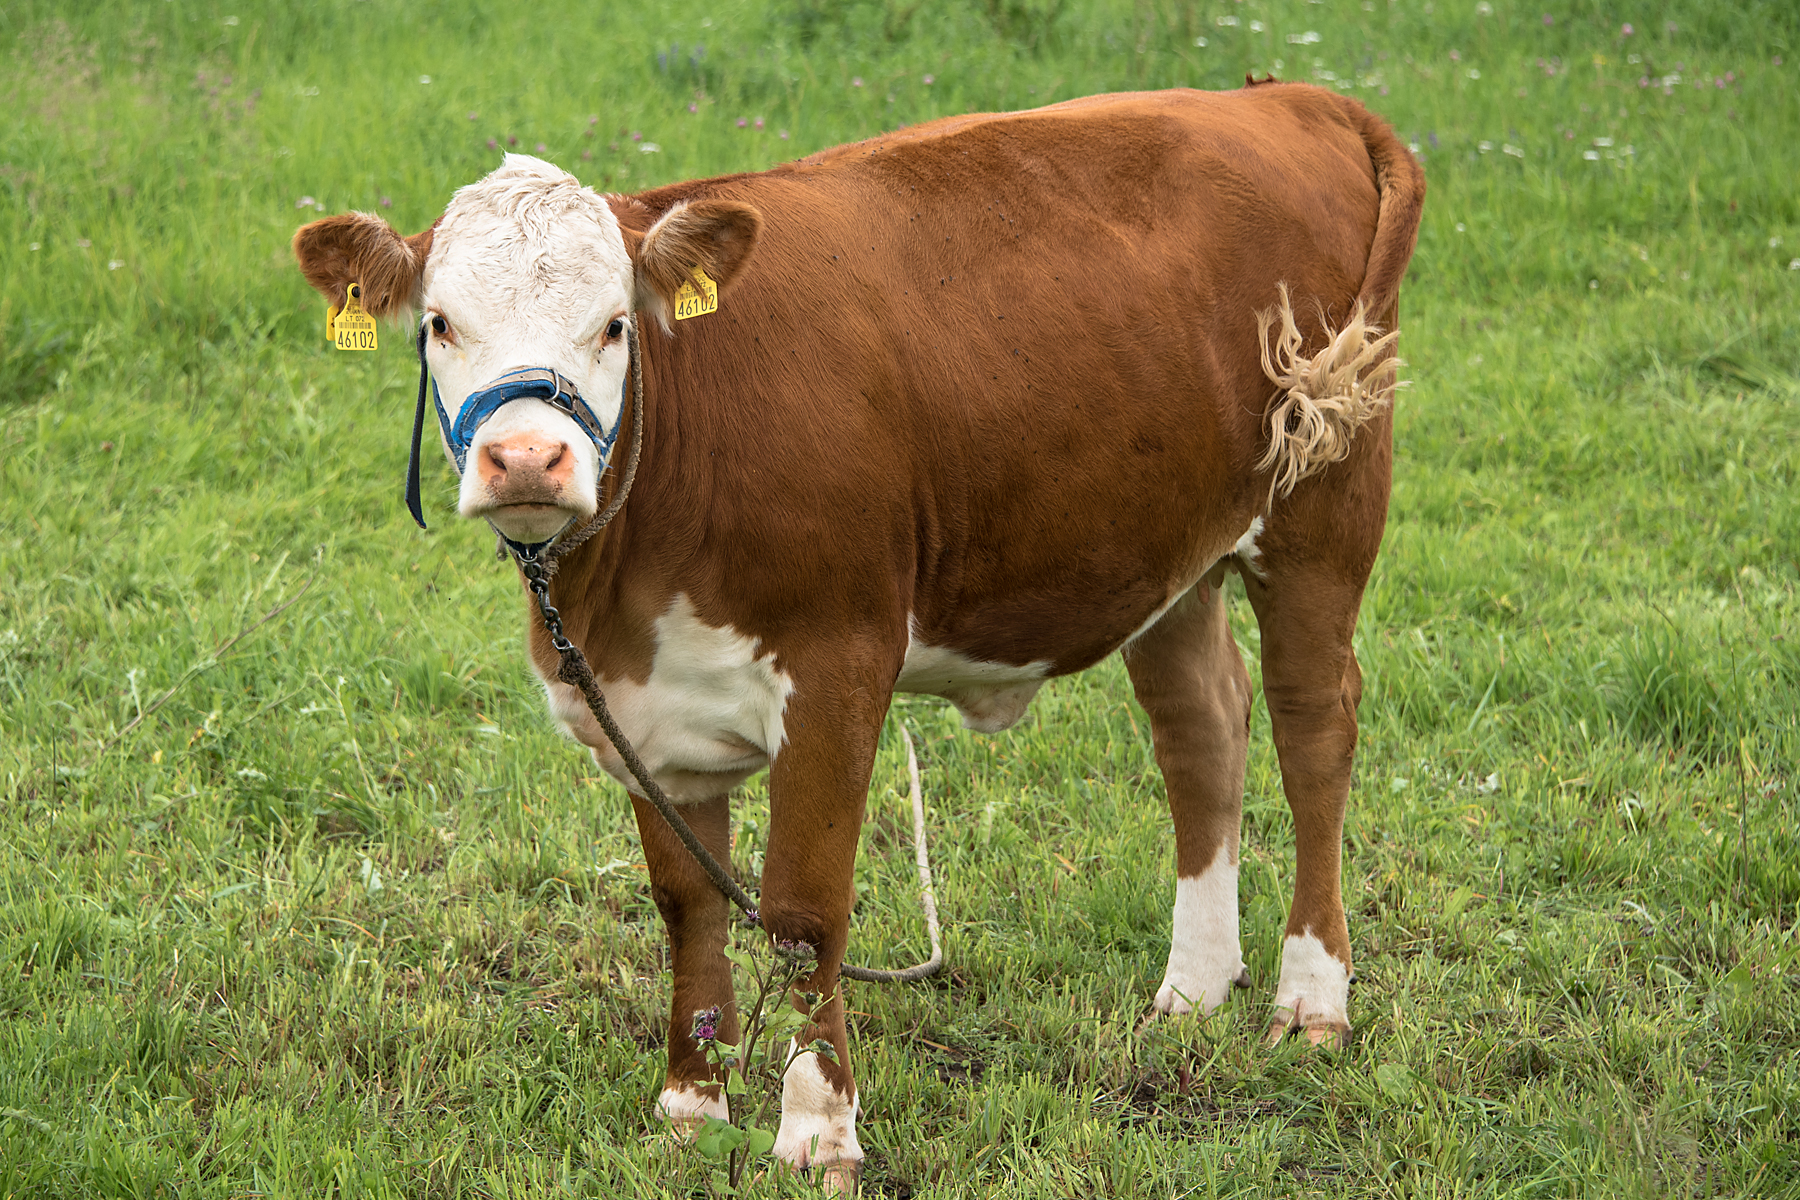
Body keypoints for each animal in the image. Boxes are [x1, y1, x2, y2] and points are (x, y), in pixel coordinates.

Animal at [293, 81, 1424, 1188]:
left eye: (614, 325)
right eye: (440, 324)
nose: (526, 459)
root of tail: (1286, 95)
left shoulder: (837, 669)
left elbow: (803, 913)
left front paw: (818, 1131)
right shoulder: (646, 707)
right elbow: (688, 904)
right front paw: (690, 1111)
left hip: (1324, 508)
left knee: (1313, 729)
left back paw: (1311, 999)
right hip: (1167, 551)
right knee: (1202, 730)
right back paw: (1192, 989)